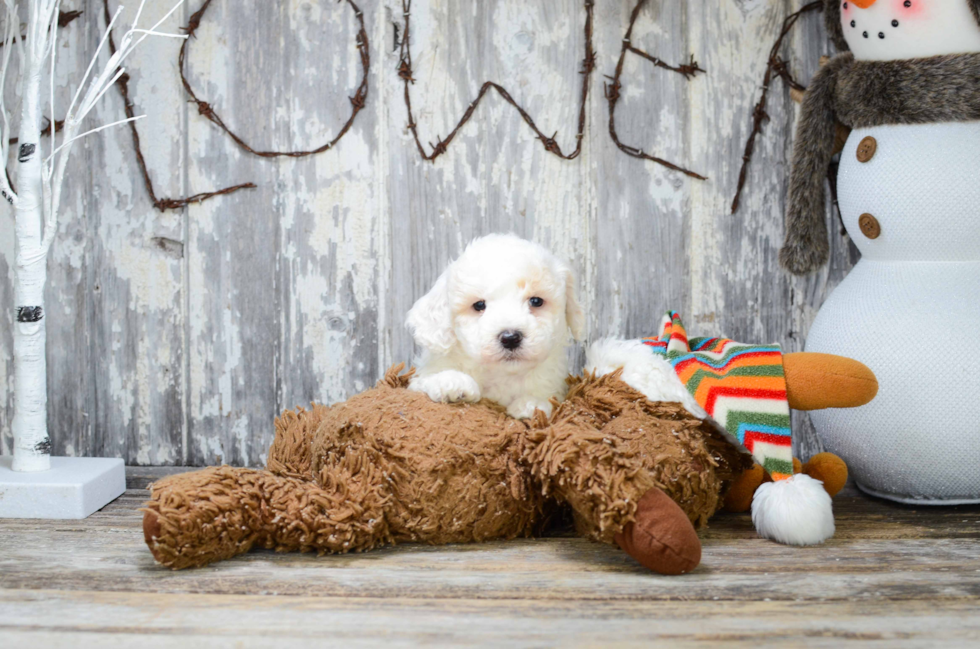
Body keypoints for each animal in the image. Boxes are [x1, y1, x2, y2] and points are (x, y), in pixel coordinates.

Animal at [406, 235, 580, 418]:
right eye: (479, 305)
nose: (510, 338)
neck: (502, 374)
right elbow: (429, 379)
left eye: (536, 301)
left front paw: (532, 403)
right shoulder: (422, 376)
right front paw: (453, 382)